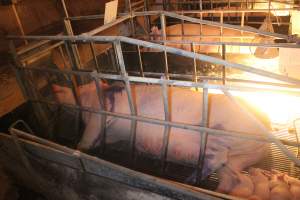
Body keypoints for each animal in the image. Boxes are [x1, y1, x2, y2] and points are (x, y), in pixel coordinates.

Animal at [52, 81, 270, 181]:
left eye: (80, 91)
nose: (55, 87)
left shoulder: (100, 114)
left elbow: (90, 133)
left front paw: (79, 147)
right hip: (234, 156)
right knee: (226, 167)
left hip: (219, 134)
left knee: (218, 157)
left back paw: (189, 179)